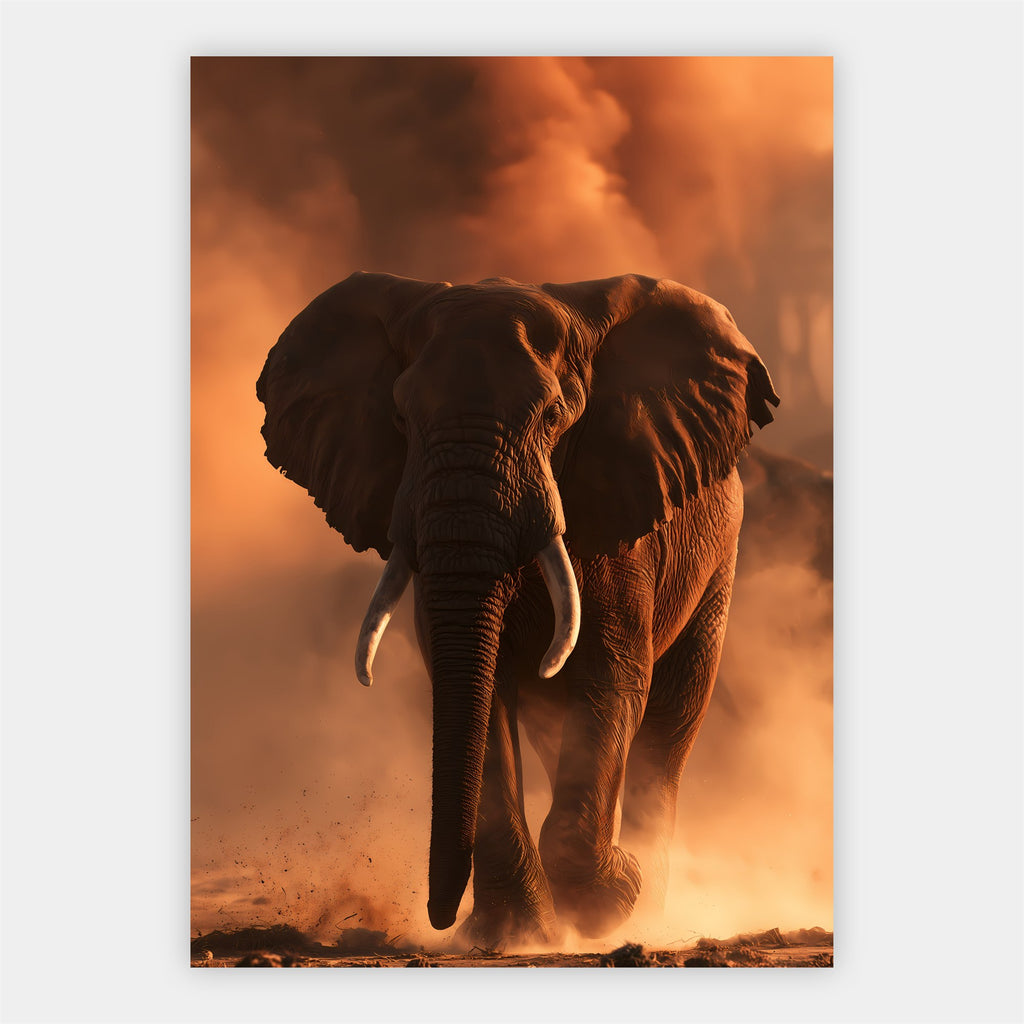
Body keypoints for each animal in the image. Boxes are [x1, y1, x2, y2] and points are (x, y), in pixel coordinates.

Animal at [256, 271, 779, 946]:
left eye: (555, 415)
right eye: (399, 416)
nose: (440, 915)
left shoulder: (617, 524)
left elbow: (611, 681)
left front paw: (614, 894)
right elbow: (478, 693)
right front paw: (510, 936)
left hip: (719, 562)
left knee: (670, 722)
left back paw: (646, 904)